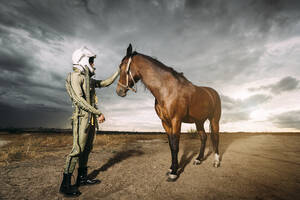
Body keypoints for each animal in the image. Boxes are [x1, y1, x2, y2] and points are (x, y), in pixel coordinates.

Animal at [116, 44, 221, 182]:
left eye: (122, 66)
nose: (119, 91)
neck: (166, 89)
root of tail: (213, 93)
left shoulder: (176, 120)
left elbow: (176, 145)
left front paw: (174, 173)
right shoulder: (165, 122)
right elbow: (171, 146)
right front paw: (171, 168)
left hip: (214, 120)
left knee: (216, 137)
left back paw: (216, 161)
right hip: (199, 121)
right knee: (203, 137)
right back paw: (198, 159)